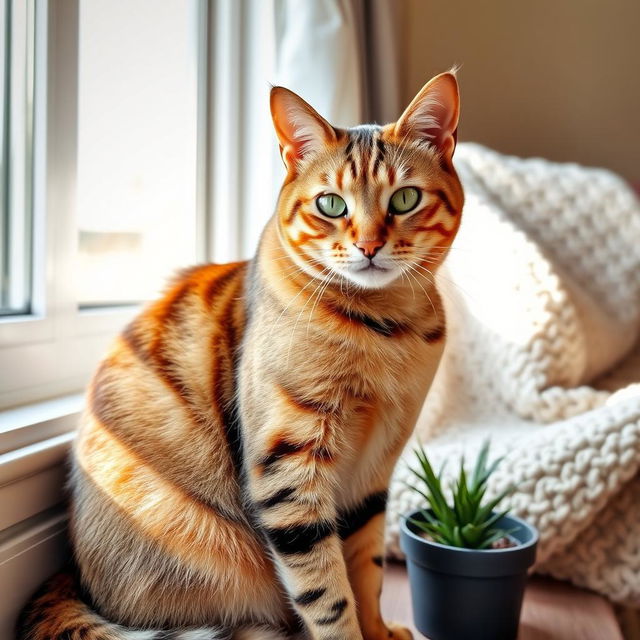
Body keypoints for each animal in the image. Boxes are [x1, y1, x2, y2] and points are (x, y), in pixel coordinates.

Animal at [17, 70, 462, 640]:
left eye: (405, 199)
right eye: (332, 204)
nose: (368, 246)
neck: (384, 330)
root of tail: (70, 579)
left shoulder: (373, 472)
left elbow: (366, 571)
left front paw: (380, 631)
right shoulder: (288, 469)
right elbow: (327, 593)